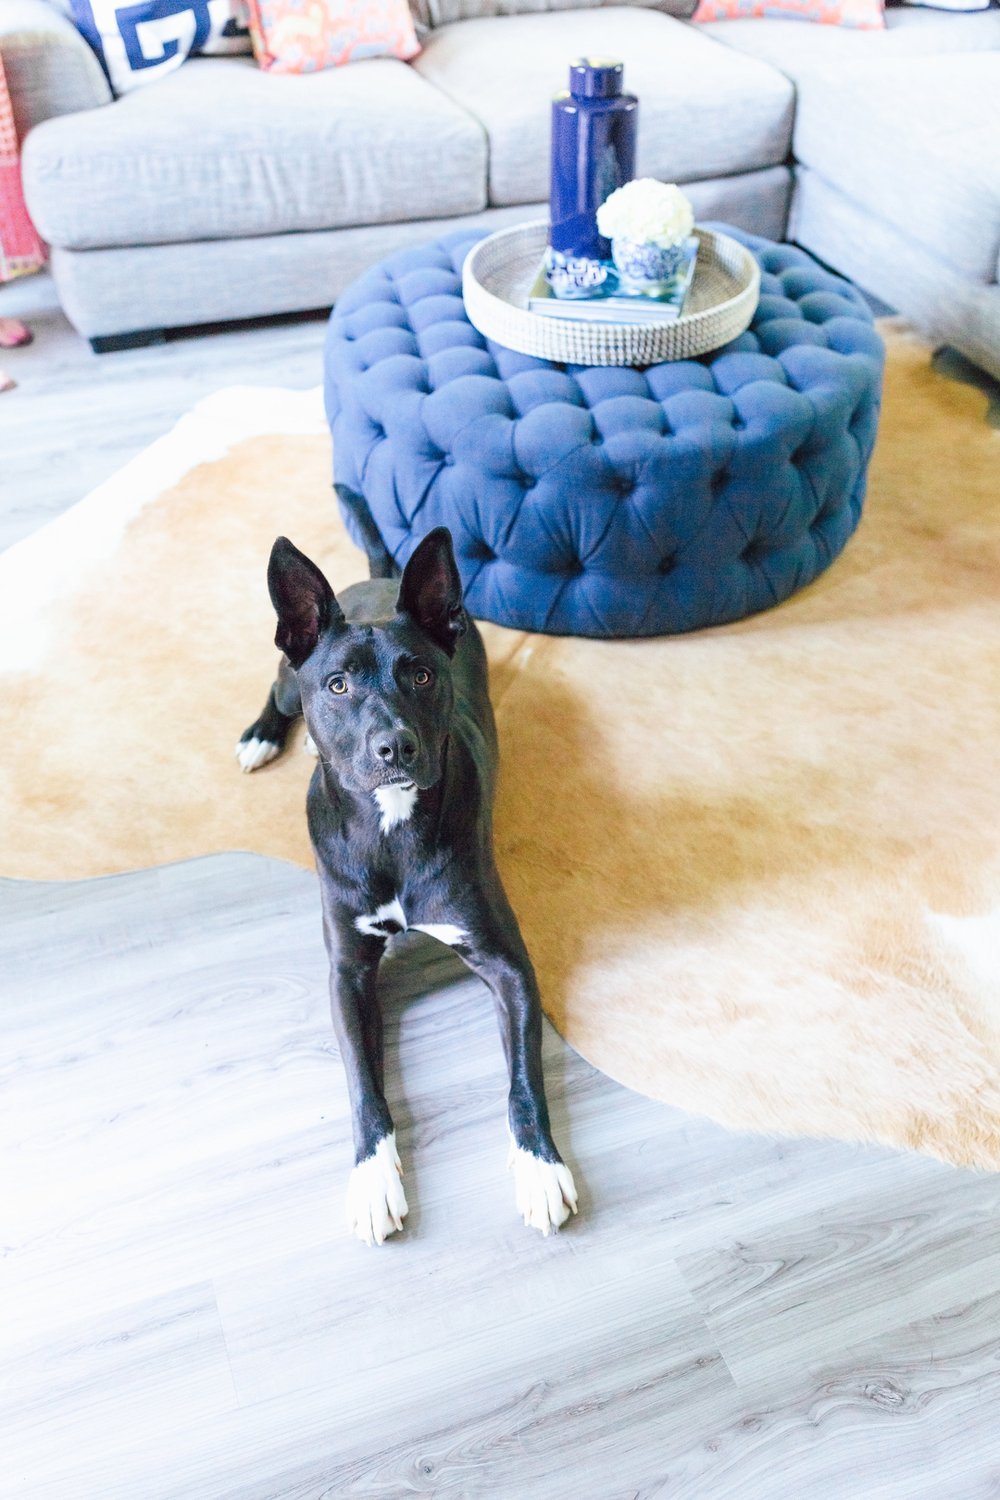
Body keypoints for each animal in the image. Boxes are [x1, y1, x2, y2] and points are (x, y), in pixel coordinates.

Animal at [238, 528, 575, 1242]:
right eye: (337, 685)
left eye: (420, 674)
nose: (394, 747)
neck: (391, 827)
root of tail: (382, 576)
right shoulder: (347, 974)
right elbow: (364, 1086)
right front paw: (372, 1179)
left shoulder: (508, 964)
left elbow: (524, 1078)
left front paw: (539, 1166)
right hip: (287, 679)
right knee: (276, 695)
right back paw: (262, 736)